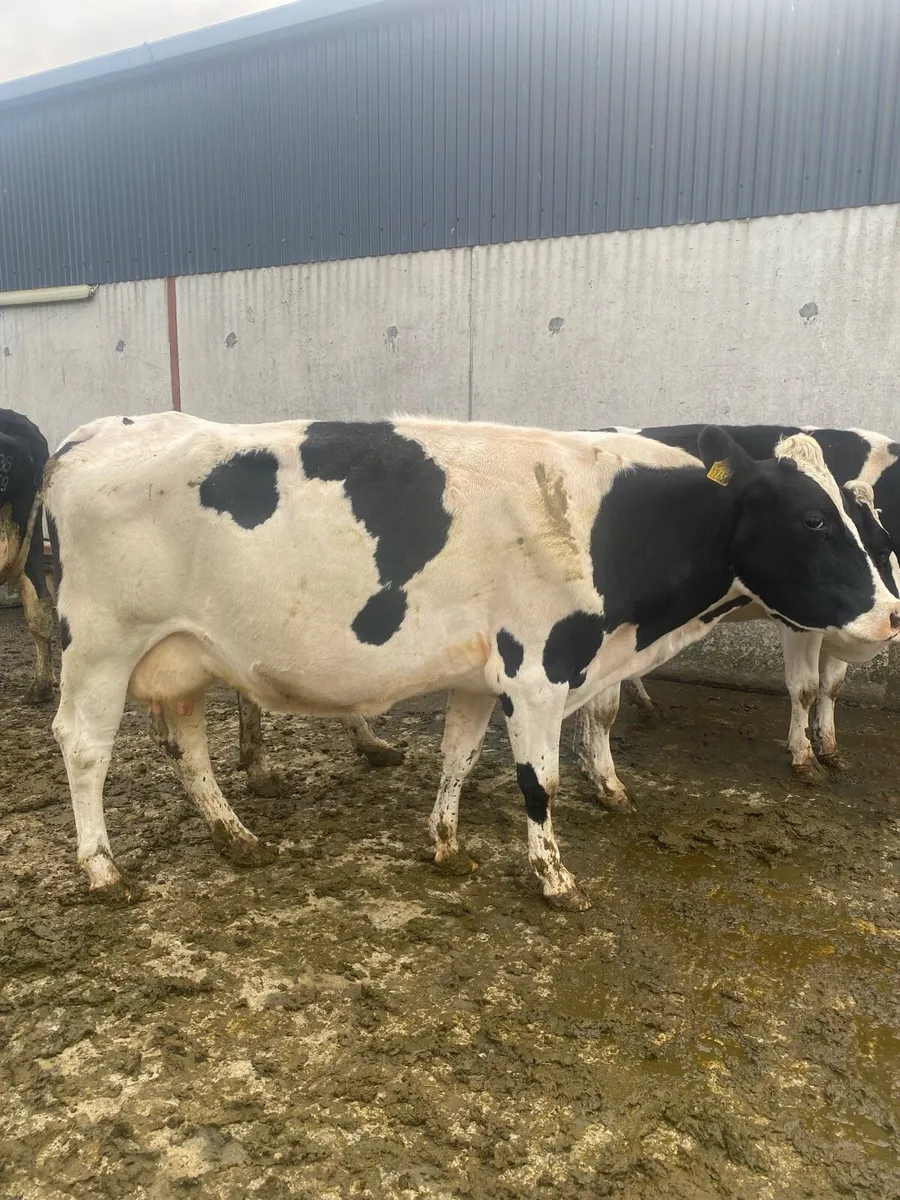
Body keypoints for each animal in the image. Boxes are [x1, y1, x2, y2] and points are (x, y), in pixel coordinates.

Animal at [575, 425, 900, 804]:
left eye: (882, 550)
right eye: (815, 524)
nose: (893, 615)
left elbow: (831, 686)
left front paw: (829, 748)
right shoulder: (799, 621)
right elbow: (805, 687)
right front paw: (804, 755)